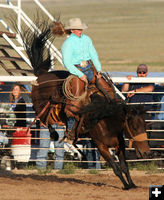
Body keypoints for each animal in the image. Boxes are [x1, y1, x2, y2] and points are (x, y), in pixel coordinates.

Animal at [20, 21, 151, 190]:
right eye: (134, 127)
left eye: (145, 125)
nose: (147, 153)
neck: (106, 119)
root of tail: (42, 75)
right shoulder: (101, 146)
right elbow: (116, 168)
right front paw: (125, 185)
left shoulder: (120, 144)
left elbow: (124, 167)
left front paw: (132, 184)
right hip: (41, 107)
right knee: (44, 120)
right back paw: (56, 135)